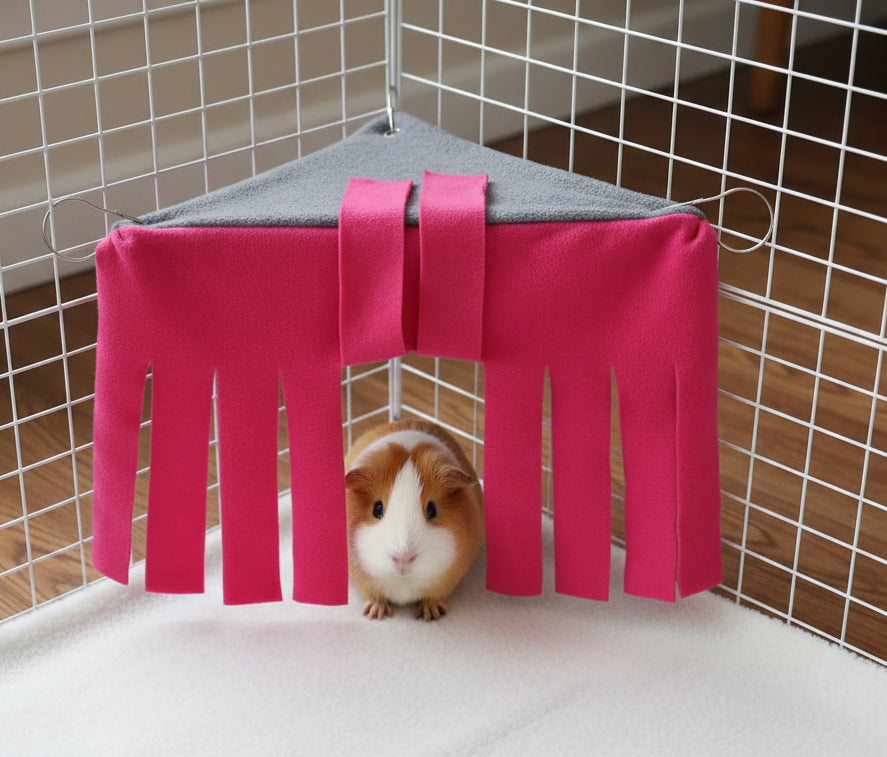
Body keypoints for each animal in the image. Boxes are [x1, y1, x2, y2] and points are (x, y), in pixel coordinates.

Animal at [344, 419, 483, 621]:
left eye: (432, 509)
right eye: (377, 508)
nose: (403, 558)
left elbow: (434, 596)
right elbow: (374, 595)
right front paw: (375, 613)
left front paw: (430, 614)